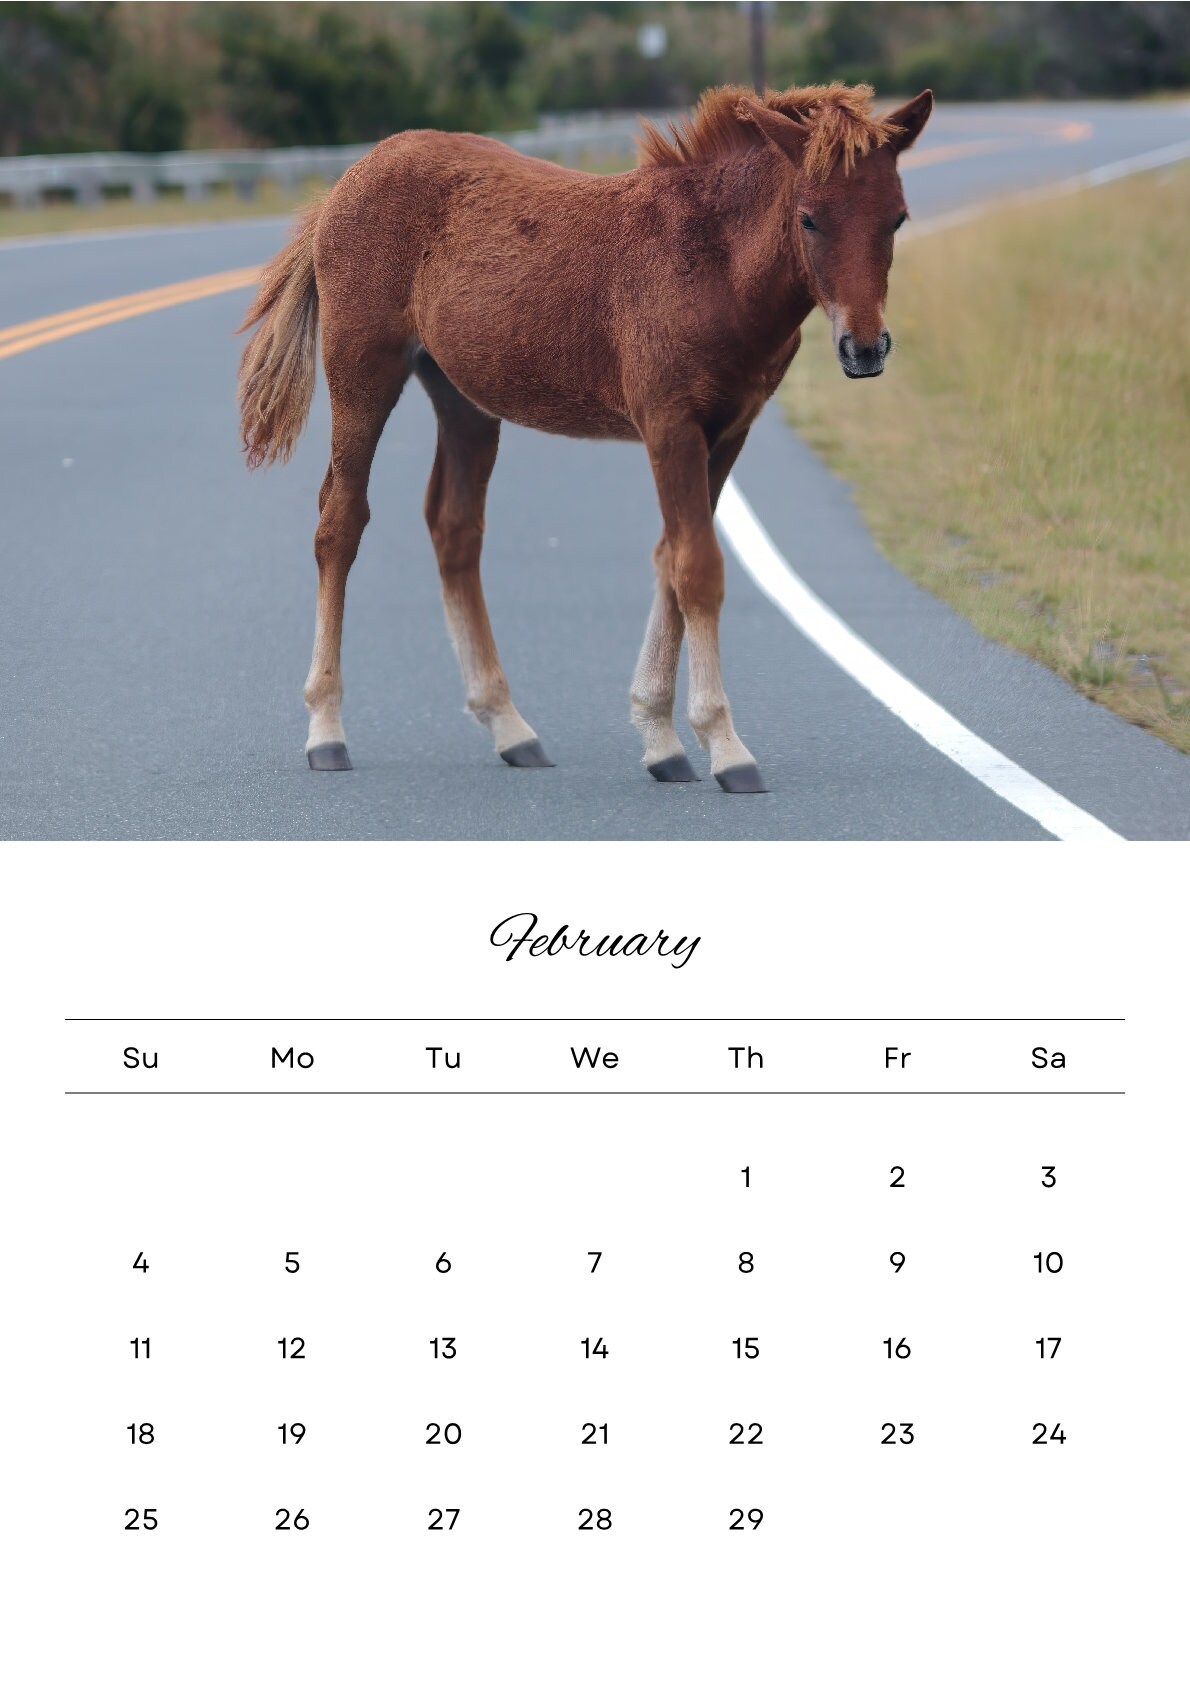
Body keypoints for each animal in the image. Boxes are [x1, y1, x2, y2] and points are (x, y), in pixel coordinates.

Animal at [238, 81, 932, 791]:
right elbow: (697, 568)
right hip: (362, 372)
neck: (715, 265)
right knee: (340, 522)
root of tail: (345, 183)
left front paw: (661, 738)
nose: (864, 349)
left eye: (897, 219)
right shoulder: (670, 426)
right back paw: (327, 729)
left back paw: (510, 727)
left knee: (454, 529)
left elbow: (671, 560)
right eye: (810, 218)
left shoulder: (728, 432)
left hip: (463, 399)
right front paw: (725, 745)